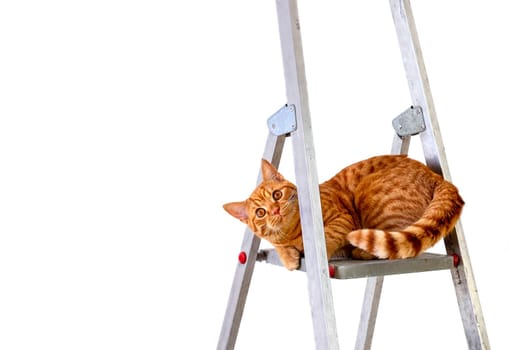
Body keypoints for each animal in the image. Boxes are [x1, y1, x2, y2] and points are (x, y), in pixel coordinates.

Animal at [222, 156, 462, 270]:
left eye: (277, 194)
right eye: (260, 213)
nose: (275, 209)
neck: (294, 232)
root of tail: (435, 175)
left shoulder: (342, 219)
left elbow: (328, 236)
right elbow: (279, 245)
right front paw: (289, 257)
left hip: (370, 192)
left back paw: (361, 252)